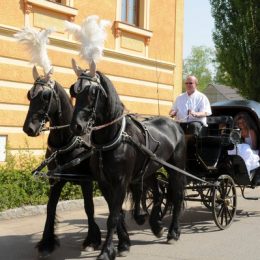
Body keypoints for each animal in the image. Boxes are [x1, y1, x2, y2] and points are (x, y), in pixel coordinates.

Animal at [22, 66, 101, 256]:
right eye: (29, 94)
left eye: (45, 96)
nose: (29, 128)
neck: (67, 140)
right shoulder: (55, 180)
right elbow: (50, 207)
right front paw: (46, 242)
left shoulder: (86, 180)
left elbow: (89, 207)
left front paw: (92, 239)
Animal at [69, 60, 187, 258]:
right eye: (74, 91)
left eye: (93, 92)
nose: (76, 126)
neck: (111, 139)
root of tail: (175, 125)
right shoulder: (104, 183)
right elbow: (115, 214)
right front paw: (123, 244)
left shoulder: (121, 182)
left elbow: (113, 217)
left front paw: (106, 251)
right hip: (149, 170)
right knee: (158, 194)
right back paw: (156, 226)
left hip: (175, 169)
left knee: (177, 197)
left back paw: (173, 232)